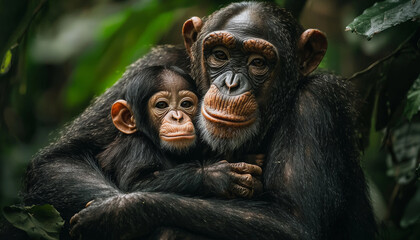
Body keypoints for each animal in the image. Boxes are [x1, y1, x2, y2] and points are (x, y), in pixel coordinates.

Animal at [23, 62, 262, 239]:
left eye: (186, 104)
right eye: (162, 105)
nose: (177, 117)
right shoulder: (137, 150)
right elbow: (136, 186)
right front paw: (216, 176)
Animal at [70, 2, 376, 240]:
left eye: (258, 62)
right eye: (220, 55)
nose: (231, 84)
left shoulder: (316, 102)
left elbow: (291, 222)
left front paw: (117, 213)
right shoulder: (162, 58)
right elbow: (67, 159)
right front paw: (218, 176)